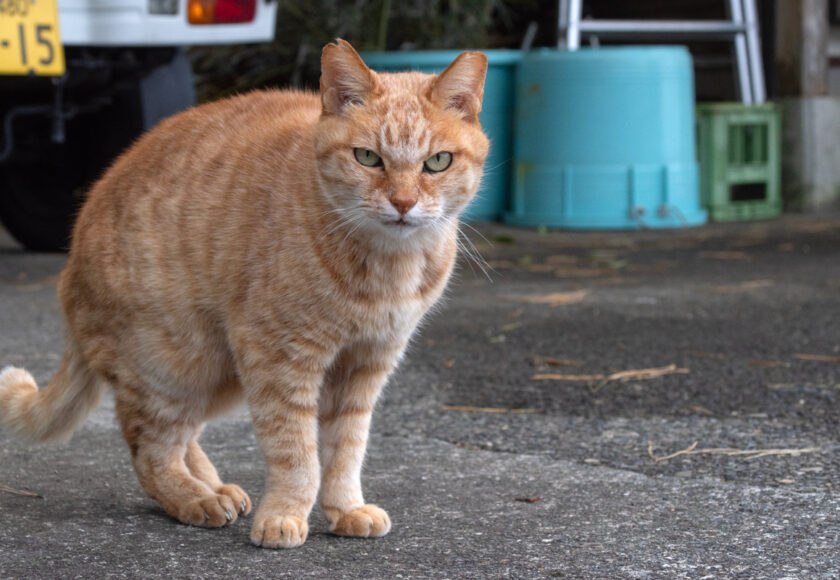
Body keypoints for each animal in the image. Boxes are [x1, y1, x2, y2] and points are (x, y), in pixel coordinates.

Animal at [0, 40, 488, 548]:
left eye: (437, 162)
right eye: (368, 158)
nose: (403, 203)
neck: (389, 267)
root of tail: (69, 266)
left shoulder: (365, 365)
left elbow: (346, 450)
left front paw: (346, 509)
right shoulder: (279, 358)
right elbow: (296, 451)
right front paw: (285, 515)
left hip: (216, 376)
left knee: (180, 437)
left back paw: (214, 486)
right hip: (173, 363)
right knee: (149, 448)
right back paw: (195, 498)